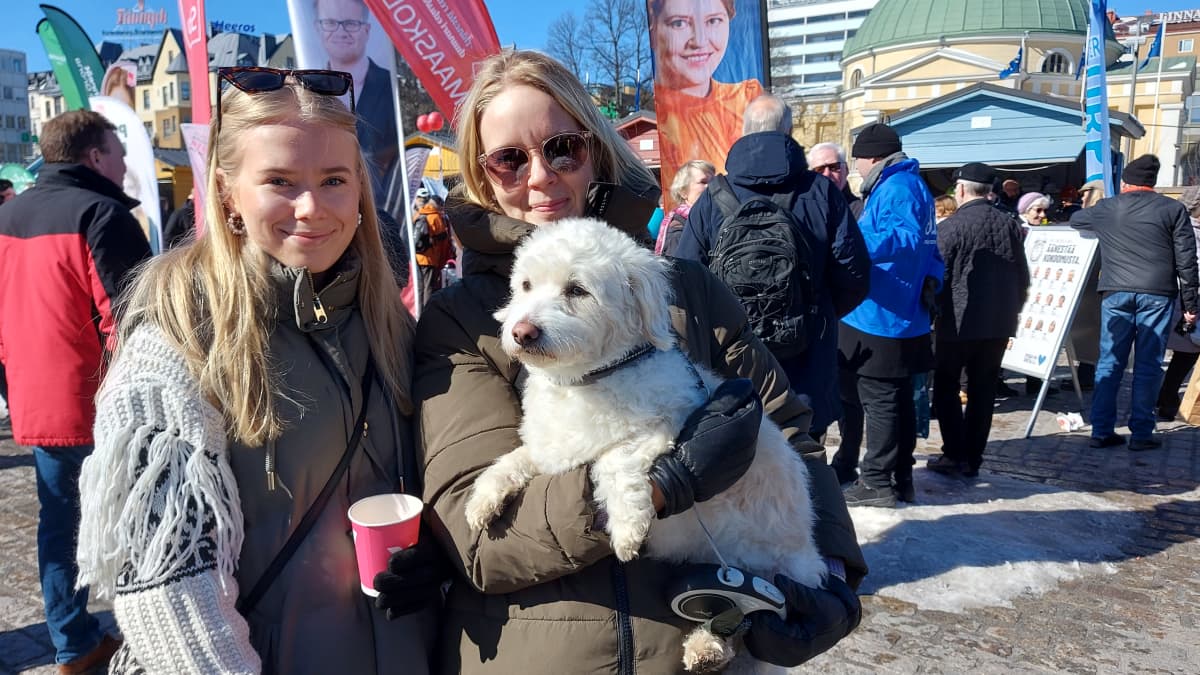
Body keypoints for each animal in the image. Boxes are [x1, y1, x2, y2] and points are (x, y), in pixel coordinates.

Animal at [463, 218, 830, 667]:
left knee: (747, 616)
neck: (590, 379)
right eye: (526, 285)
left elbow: (614, 460)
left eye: (576, 290)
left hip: (765, 572)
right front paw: (483, 498)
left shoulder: (665, 427)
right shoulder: (554, 450)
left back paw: (708, 645)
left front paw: (627, 528)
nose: (522, 332)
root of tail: (809, 556)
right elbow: (514, 459)